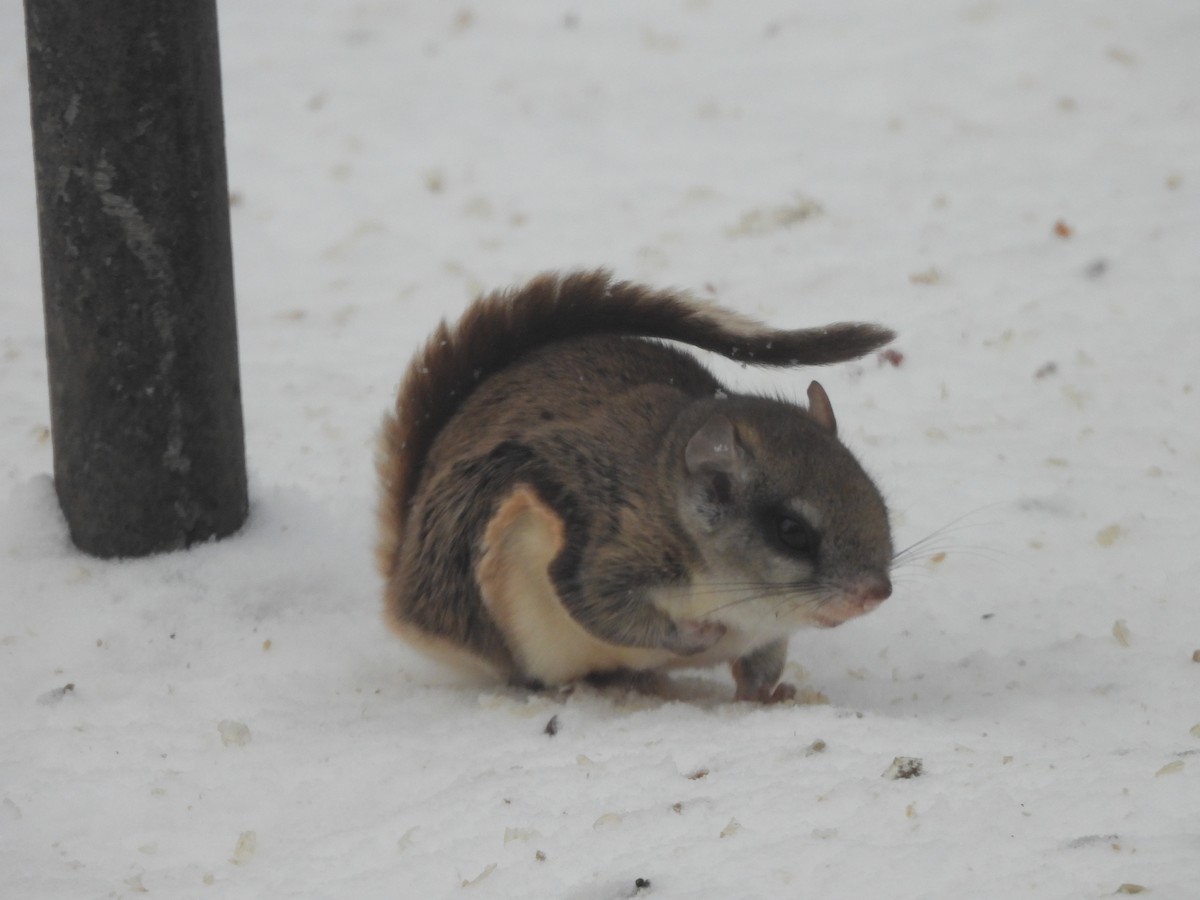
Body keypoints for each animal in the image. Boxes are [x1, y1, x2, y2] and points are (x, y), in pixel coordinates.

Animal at [376, 270, 896, 702]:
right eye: (791, 531)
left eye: (879, 501)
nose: (877, 593)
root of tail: (402, 585)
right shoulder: (607, 540)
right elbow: (602, 605)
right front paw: (694, 636)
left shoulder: (767, 637)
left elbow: (758, 669)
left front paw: (768, 697)